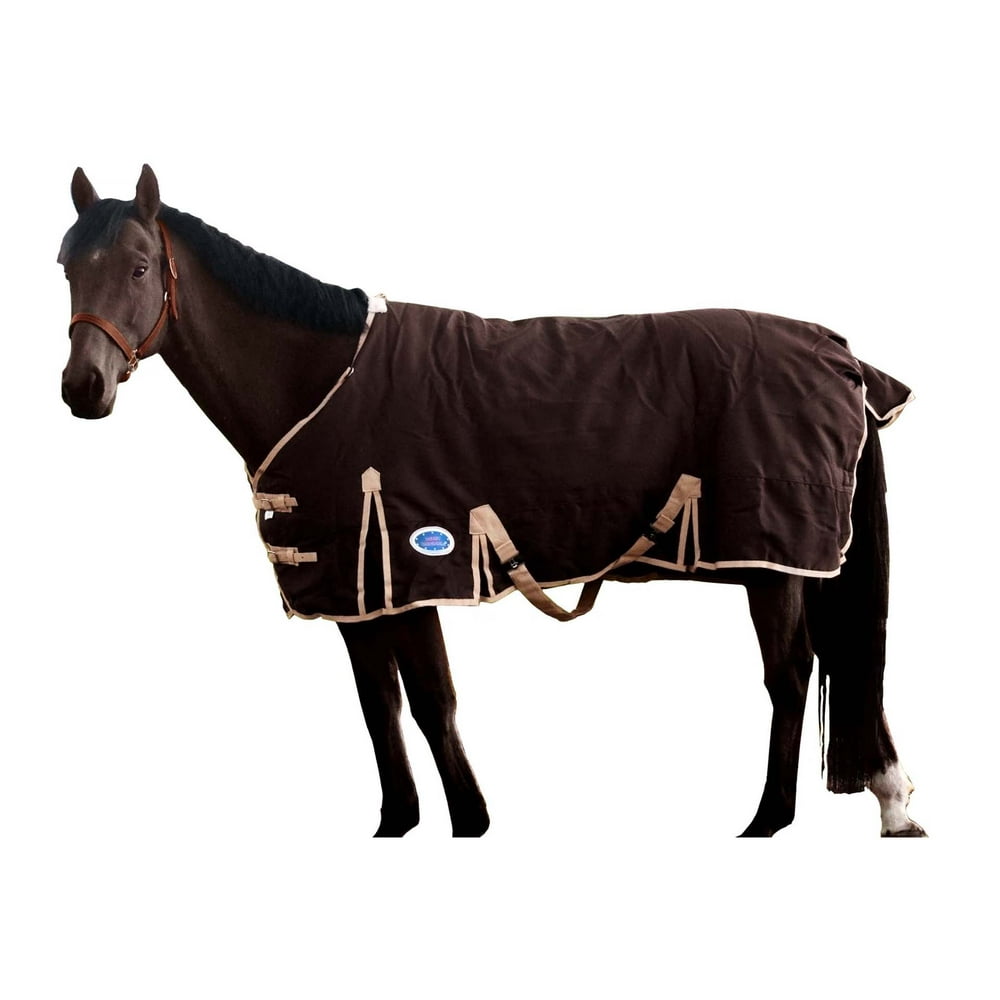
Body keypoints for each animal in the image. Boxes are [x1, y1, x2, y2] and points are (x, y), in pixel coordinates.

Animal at [58, 165, 926, 838]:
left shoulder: (409, 574)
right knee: (839, 658)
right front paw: (398, 824)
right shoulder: (357, 595)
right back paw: (889, 802)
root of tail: (842, 357)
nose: (82, 388)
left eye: (139, 267)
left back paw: (767, 821)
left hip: (774, 564)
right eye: (66, 266)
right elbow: (381, 708)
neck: (322, 379)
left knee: (792, 675)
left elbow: (431, 704)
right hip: (797, 565)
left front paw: (470, 823)